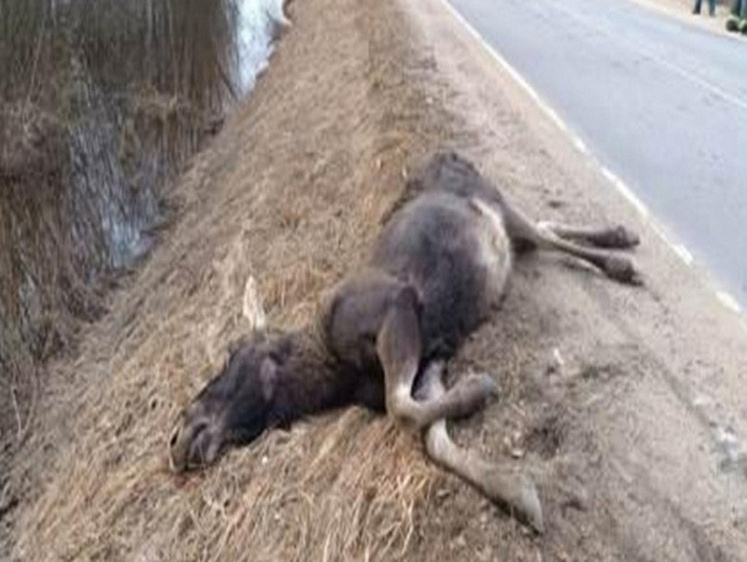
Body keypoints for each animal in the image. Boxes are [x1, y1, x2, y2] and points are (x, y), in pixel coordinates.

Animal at [171, 150, 644, 528]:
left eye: (230, 353)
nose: (176, 440)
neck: (334, 371)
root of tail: (448, 154)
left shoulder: (398, 308)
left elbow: (400, 409)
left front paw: (482, 388)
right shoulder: (433, 356)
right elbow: (433, 437)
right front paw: (514, 491)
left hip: (493, 200)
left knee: (544, 233)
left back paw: (620, 259)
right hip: (506, 232)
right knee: (541, 229)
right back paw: (620, 233)